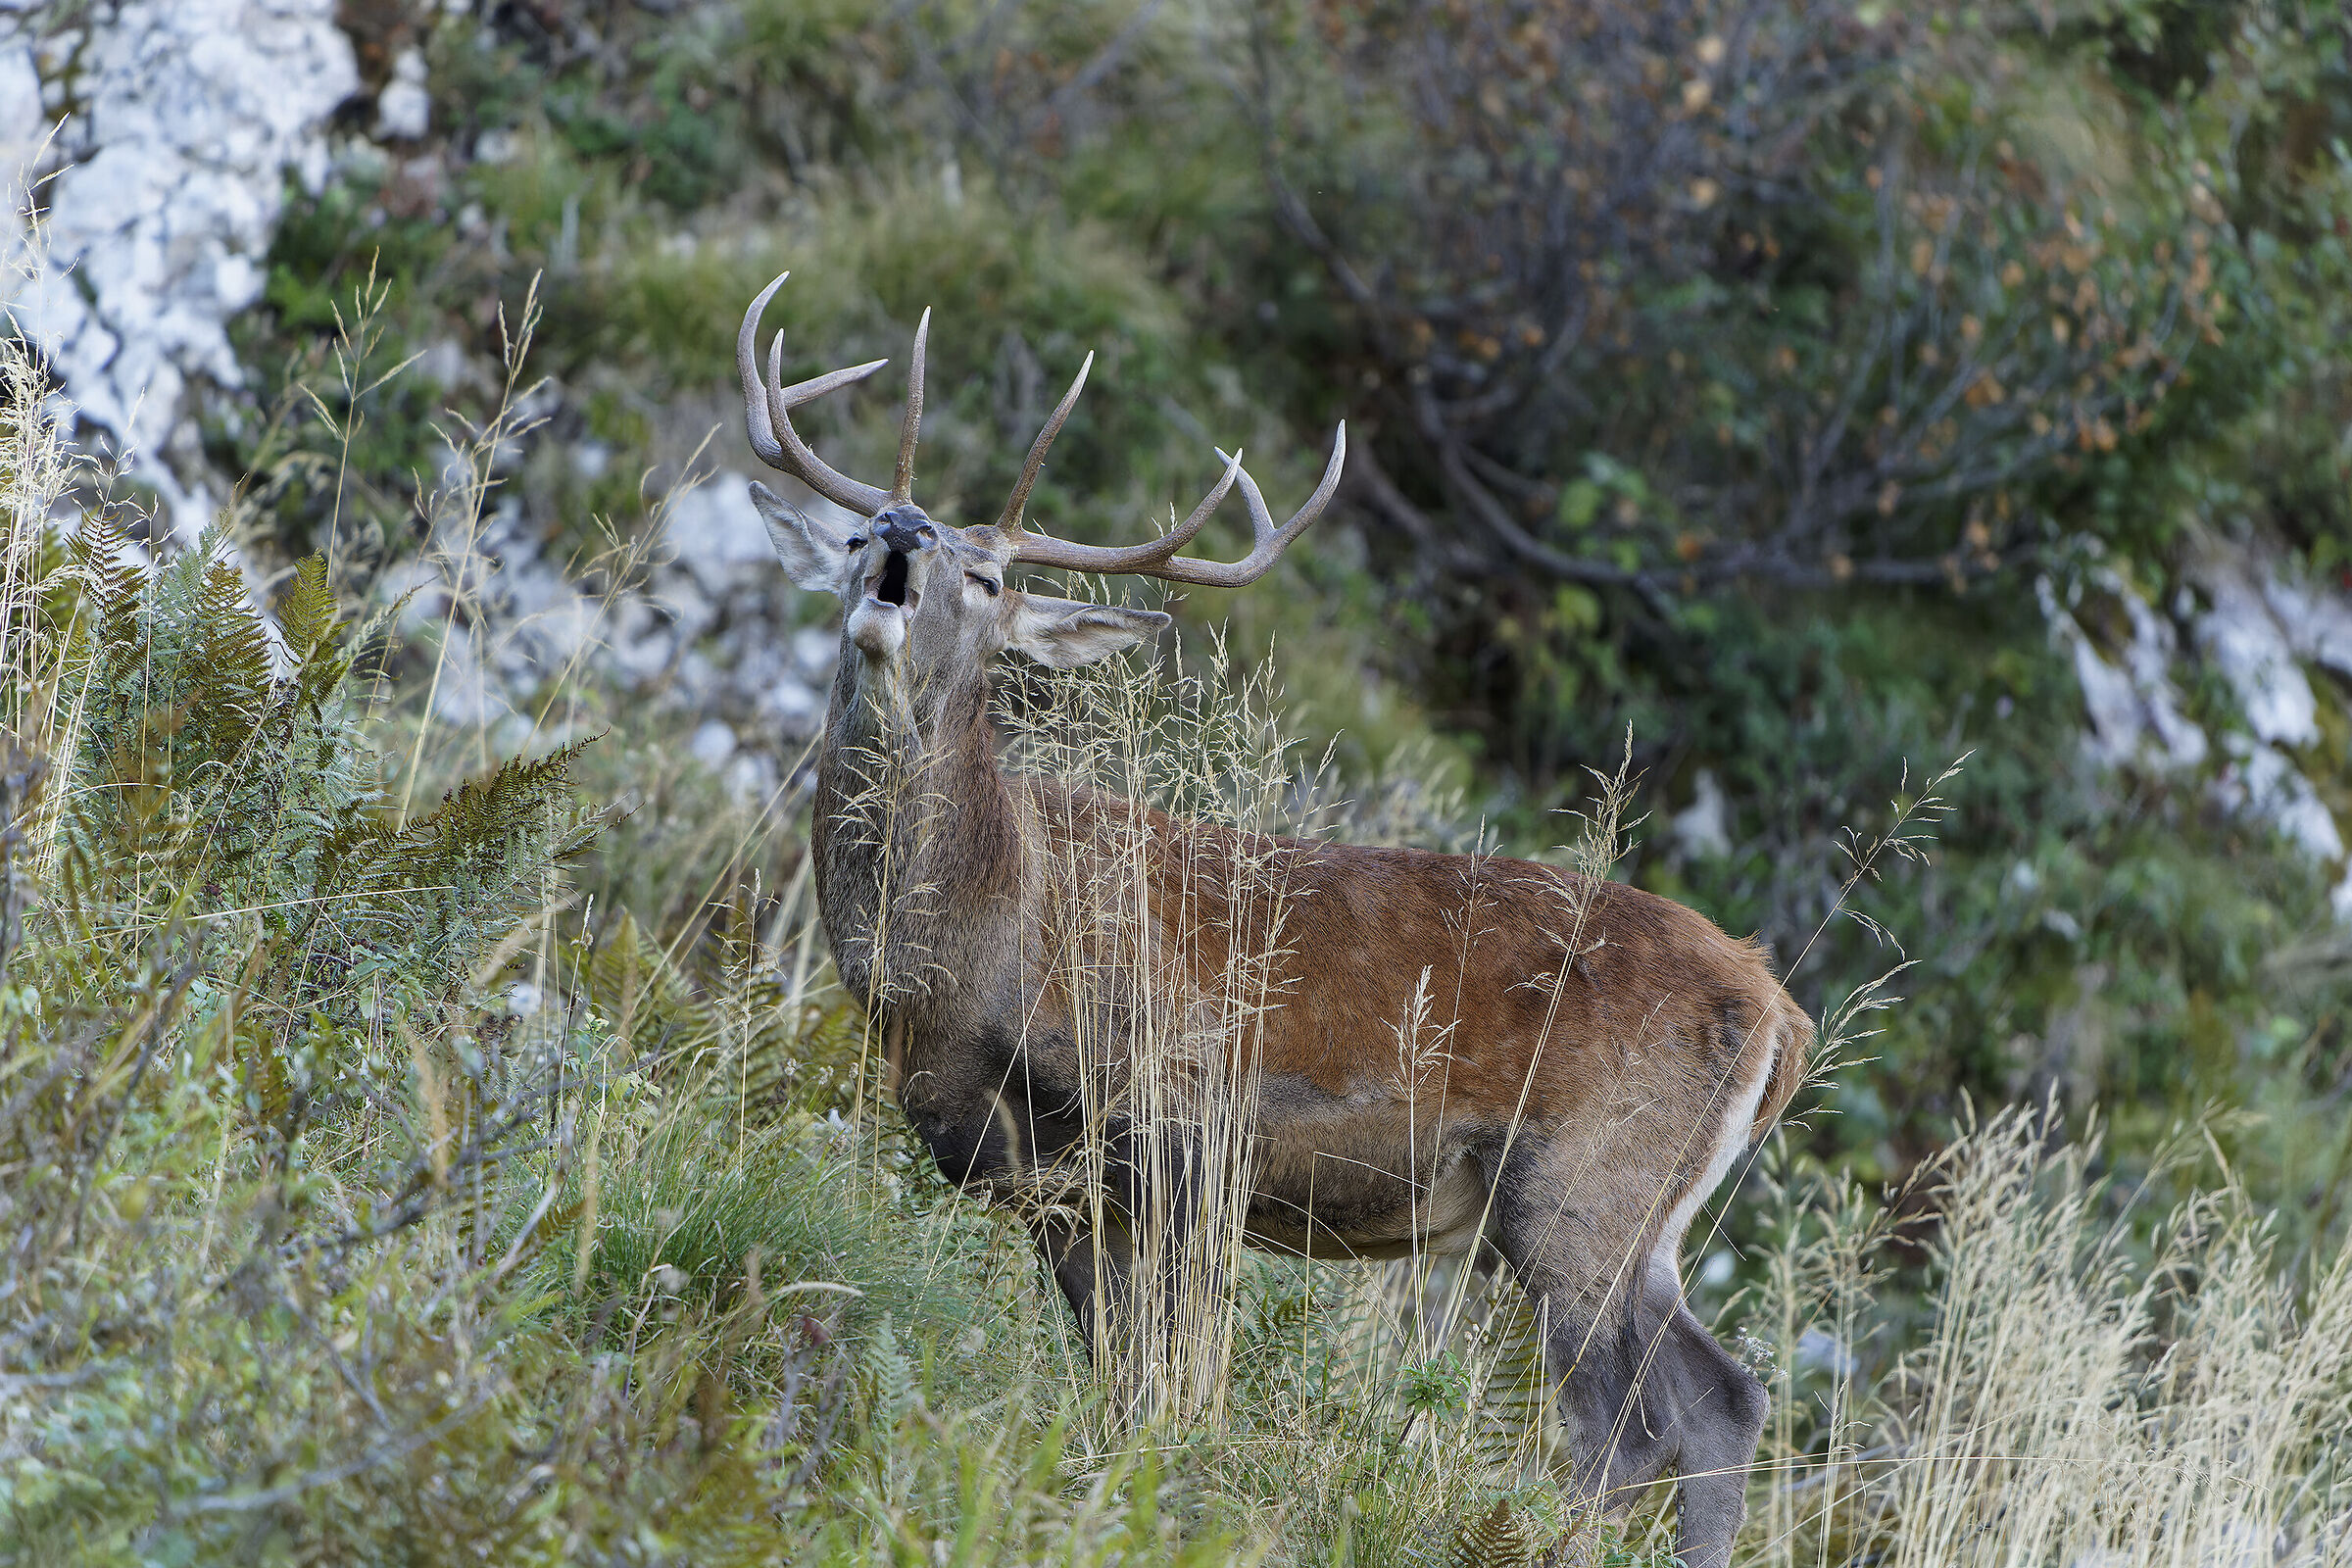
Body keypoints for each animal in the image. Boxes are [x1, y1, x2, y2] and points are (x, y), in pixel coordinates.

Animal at [733, 273, 1812, 1568]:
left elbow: (1160, 1378)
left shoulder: (1181, 1125)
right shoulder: (1057, 1185)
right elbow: (1111, 1374)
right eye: (851, 539)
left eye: (990, 579)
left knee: (1632, 1424)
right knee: (1722, 1399)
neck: (978, 949)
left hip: (1584, 1184)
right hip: (1634, 1217)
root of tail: (1778, 1009)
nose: (899, 526)